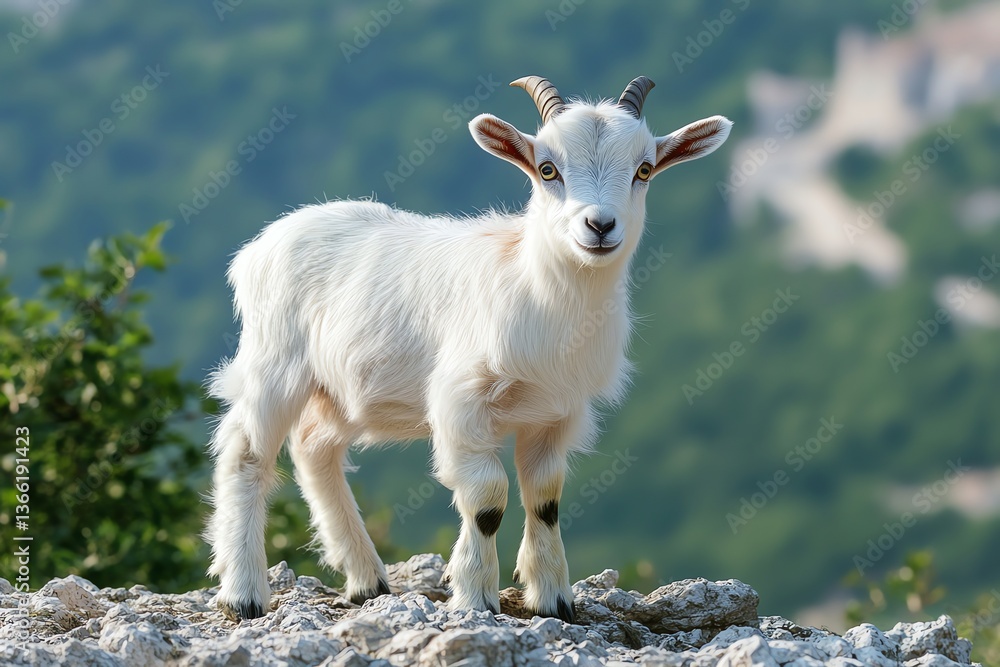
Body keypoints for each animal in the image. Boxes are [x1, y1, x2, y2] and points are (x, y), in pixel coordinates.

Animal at [206, 75, 732, 622]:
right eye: (548, 169)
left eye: (644, 170)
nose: (600, 226)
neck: (535, 288)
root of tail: (259, 246)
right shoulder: (462, 400)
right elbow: (487, 499)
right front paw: (475, 595)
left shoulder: (558, 410)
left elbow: (546, 497)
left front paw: (553, 598)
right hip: (274, 358)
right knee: (245, 451)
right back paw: (243, 592)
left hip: (339, 389)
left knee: (314, 447)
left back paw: (366, 580)